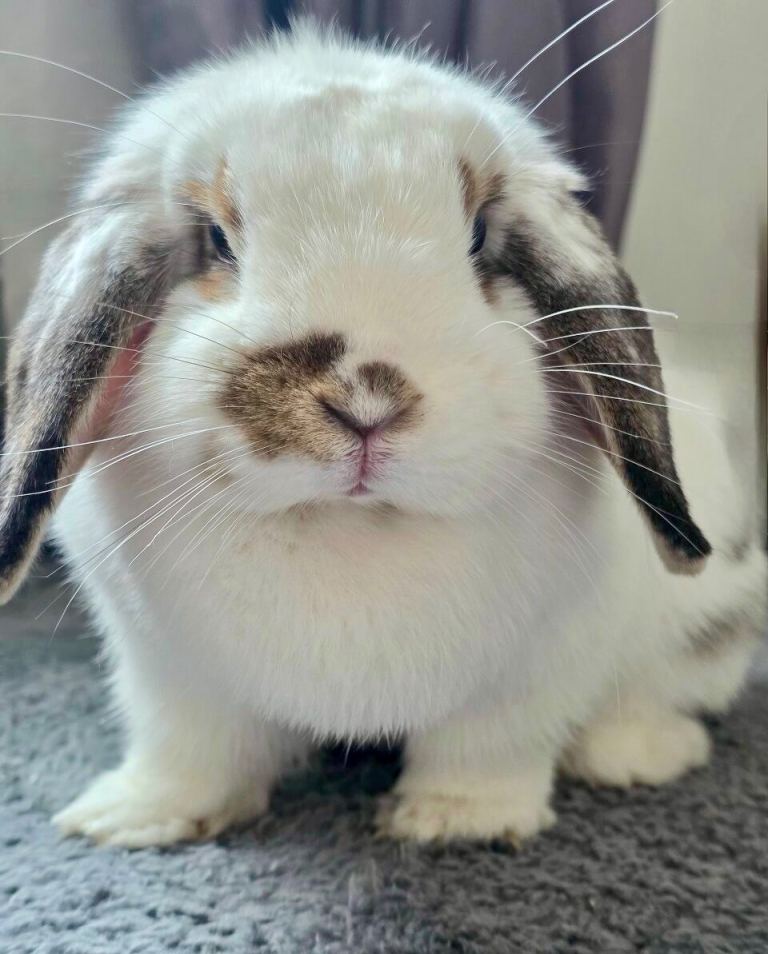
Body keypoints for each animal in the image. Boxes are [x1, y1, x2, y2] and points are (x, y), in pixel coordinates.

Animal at [0, 23, 765, 849]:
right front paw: (137, 817)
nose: (367, 404)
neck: (351, 532)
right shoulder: (167, 671)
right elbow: (191, 750)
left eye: (479, 235)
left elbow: (490, 748)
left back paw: (639, 754)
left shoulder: (534, 670)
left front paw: (455, 823)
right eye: (217, 240)